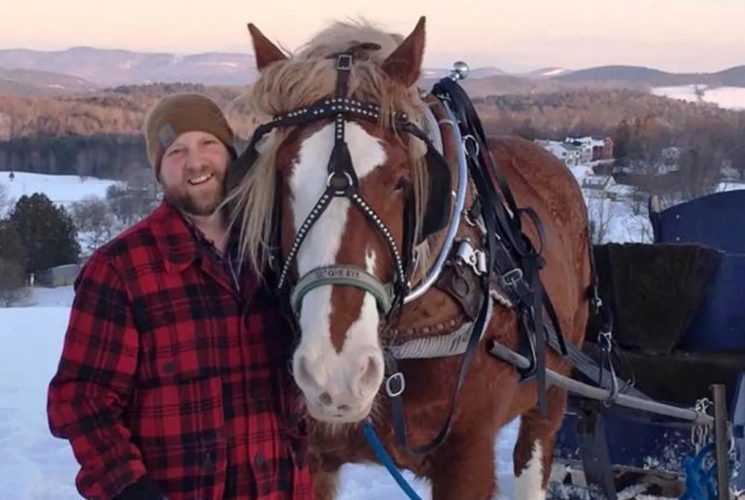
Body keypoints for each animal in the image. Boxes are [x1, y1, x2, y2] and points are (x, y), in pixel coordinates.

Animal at [230, 16, 588, 500]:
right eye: (284, 174)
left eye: (402, 181)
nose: (335, 372)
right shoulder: (315, 457)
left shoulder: (467, 461)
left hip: (550, 399)